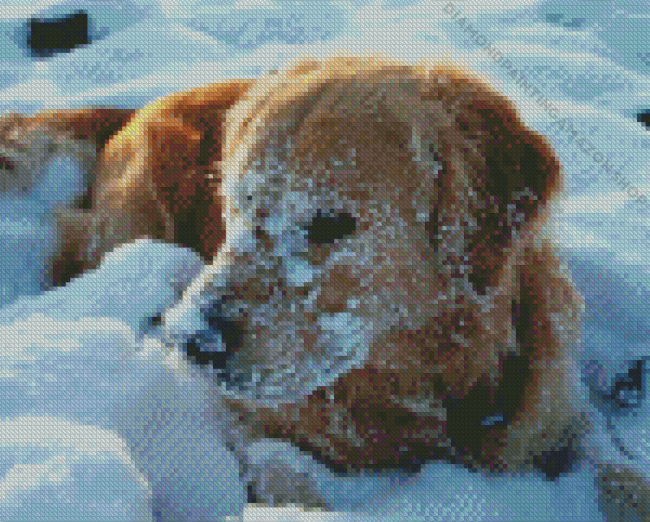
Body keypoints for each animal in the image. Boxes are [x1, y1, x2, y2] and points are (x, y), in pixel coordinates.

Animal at [2, 51, 644, 516]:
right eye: (236, 204)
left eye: (332, 223)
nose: (196, 343)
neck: (417, 381)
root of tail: (133, 106)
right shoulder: (233, 414)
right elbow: (282, 470)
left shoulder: (558, 408)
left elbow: (617, 466)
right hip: (135, 213)